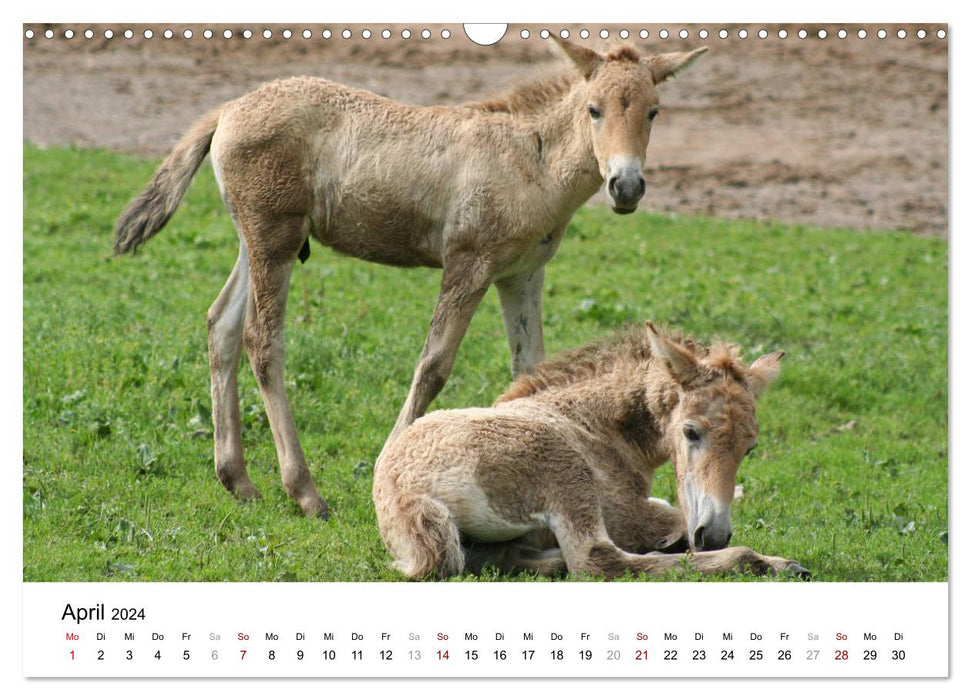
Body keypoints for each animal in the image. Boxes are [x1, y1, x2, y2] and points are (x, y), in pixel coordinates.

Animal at [114, 39, 708, 520]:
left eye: (653, 111)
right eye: (594, 109)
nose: (626, 186)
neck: (530, 160)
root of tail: (228, 109)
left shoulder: (522, 276)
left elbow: (532, 370)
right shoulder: (468, 264)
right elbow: (434, 366)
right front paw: (389, 462)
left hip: (254, 242)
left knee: (221, 325)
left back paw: (237, 479)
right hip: (274, 240)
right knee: (262, 341)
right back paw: (305, 492)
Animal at [372, 322, 804, 580]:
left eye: (751, 447)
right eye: (691, 431)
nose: (713, 535)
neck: (594, 422)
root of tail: (406, 493)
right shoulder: (627, 511)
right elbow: (671, 520)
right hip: (566, 473)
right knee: (597, 559)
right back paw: (773, 562)